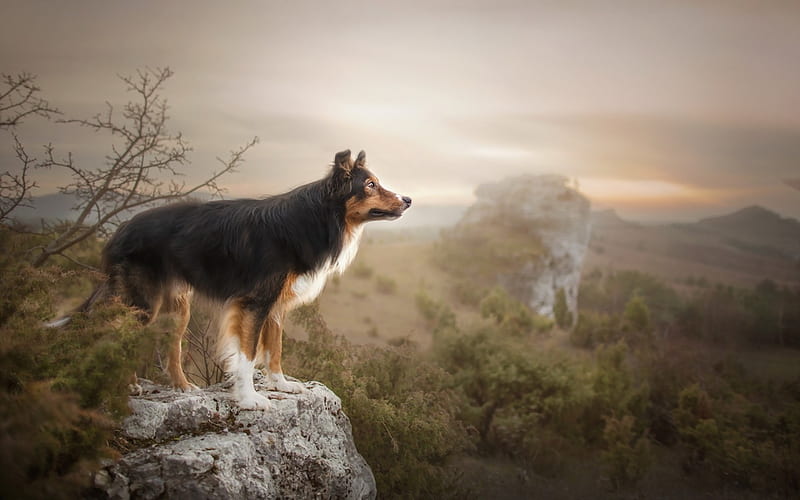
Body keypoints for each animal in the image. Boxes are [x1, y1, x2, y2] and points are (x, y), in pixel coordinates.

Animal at [51, 150, 412, 408]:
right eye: (370, 185)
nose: (408, 200)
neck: (315, 216)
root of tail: (121, 228)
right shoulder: (253, 303)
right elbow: (248, 355)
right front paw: (250, 399)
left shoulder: (274, 305)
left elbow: (275, 349)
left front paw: (282, 385)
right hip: (142, 302)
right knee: (118, 333)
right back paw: (128, 385)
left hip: (177, 307)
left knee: (171, 347)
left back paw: (183, 388)